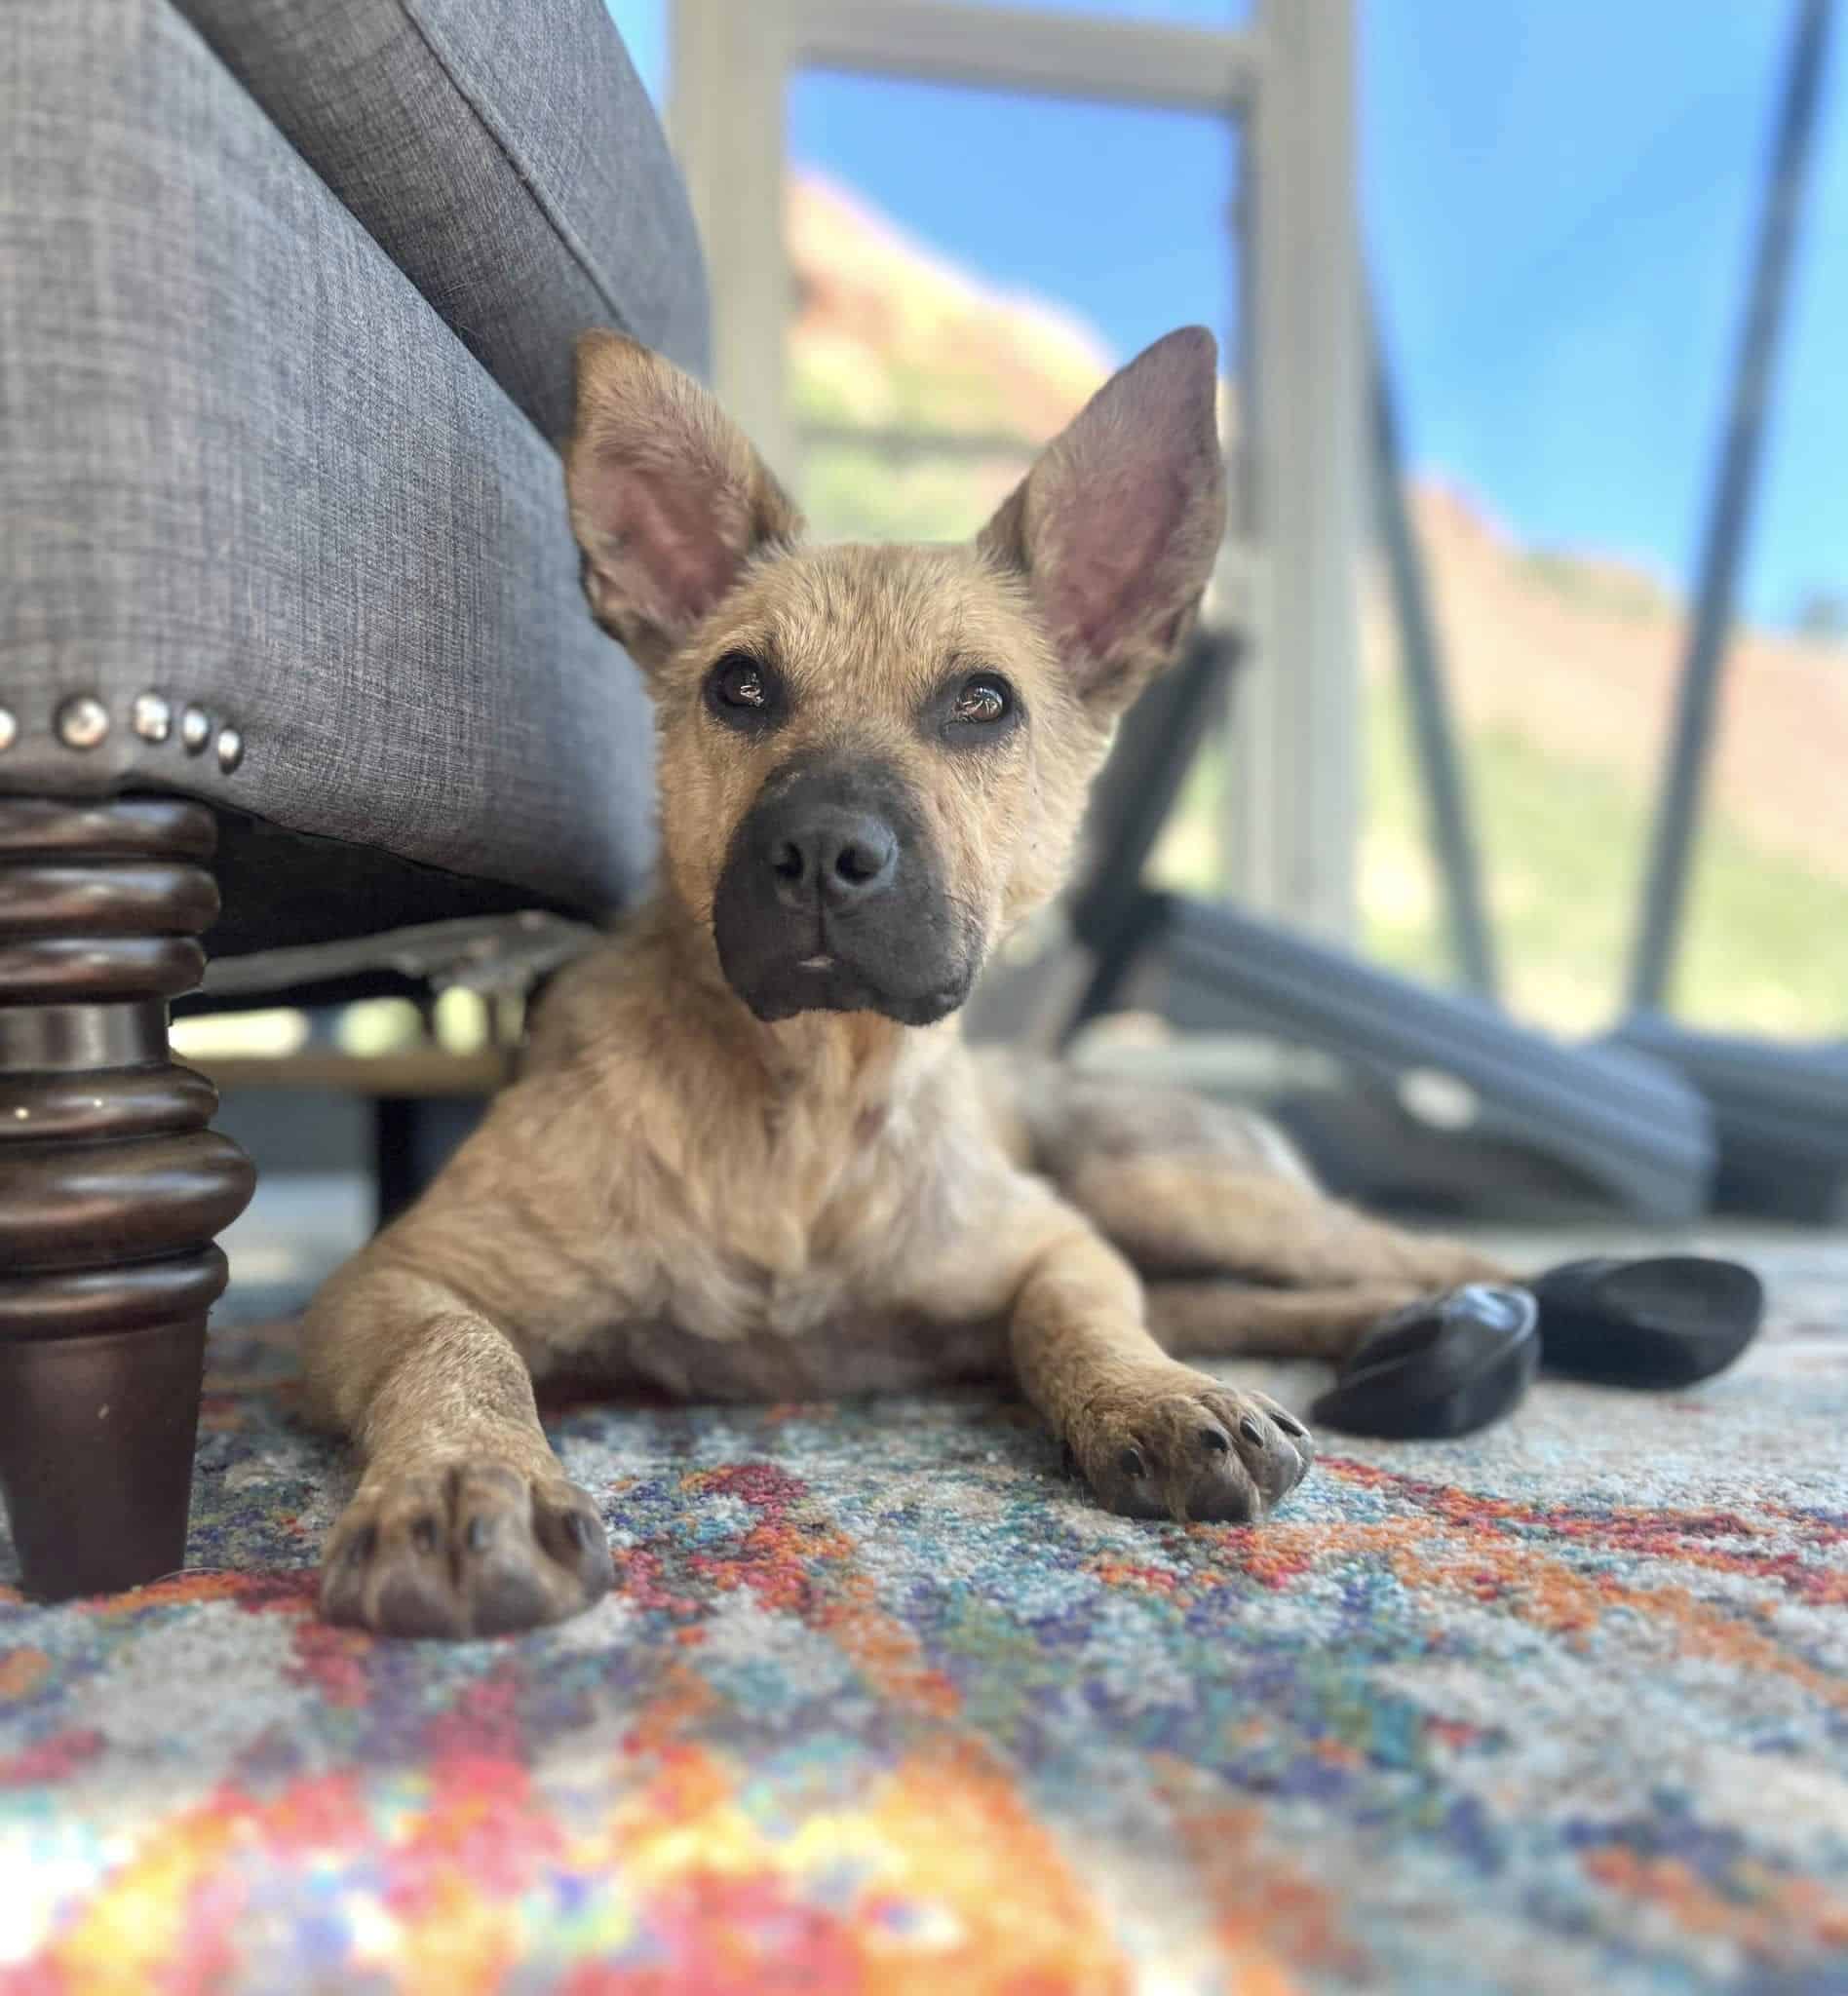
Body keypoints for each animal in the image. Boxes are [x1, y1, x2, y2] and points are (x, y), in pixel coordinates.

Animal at [303, 330, 1500, 1636]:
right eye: (739, 686)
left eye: (982, 702)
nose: (823, 851)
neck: (811, 1107)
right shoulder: (396, 1277)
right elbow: (460, 1351)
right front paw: (464, 1477)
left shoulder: (1056, 1241)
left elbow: (1076, 1311)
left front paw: (1146, 1392)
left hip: (1168, 1188)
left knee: (1432, 1254)